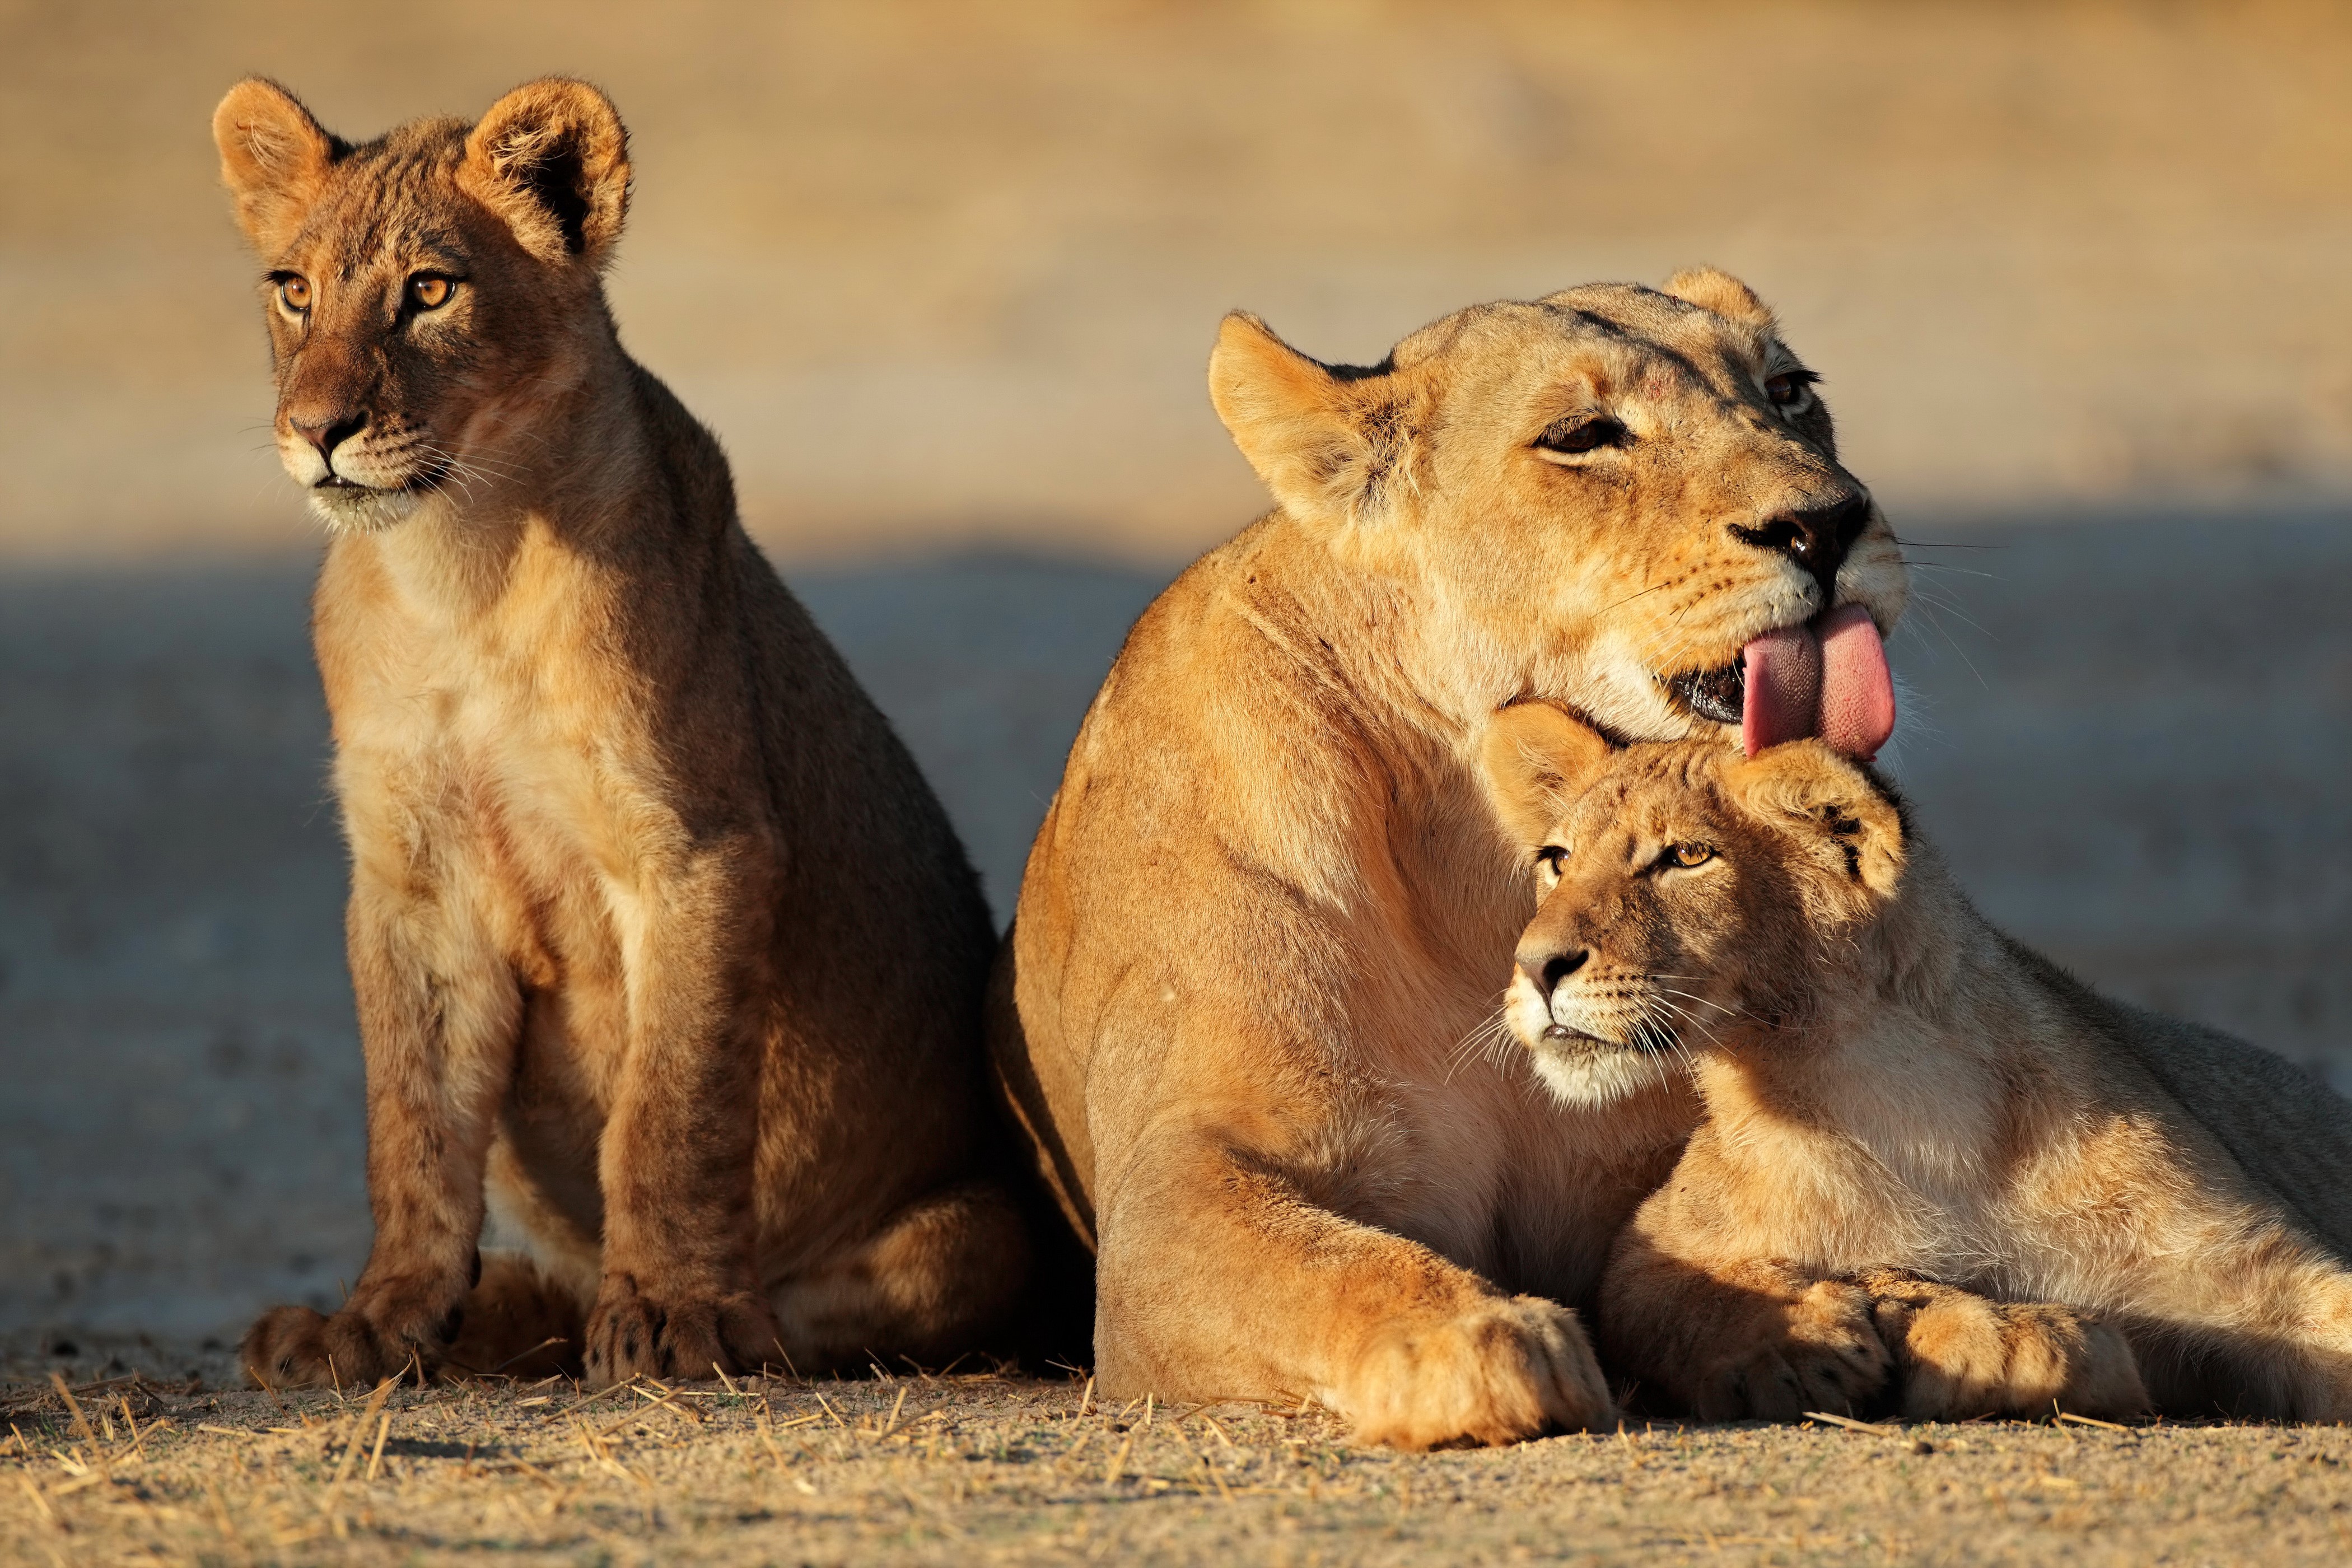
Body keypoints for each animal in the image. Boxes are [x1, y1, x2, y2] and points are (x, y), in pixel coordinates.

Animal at [213, 77, 1027, 1388]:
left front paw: (675, 1314)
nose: (318, 429)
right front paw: (374, 1322)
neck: (462, 571)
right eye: (293, 288)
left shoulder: (696, 847)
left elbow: (670, 1105)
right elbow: (411, 1125)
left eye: (429, 291)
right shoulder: (410, 879)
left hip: (986, 1231)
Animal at [987, 272, 1911, 1447]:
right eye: (1584, 436)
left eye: (1789, 390)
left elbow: (1691, 1237)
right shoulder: (1176, 1192)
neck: (1485, 863)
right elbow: (1324, 1262)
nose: (1829, 523)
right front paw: (1477, 1338)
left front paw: (1792, 1328)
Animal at [1481, 700, 2352, 1422]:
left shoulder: (2257, 1272)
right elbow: (1683, 1295)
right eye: (1558, 859)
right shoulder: (1655, 1240)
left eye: (1688, 857)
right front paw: (1799, 1345)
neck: (1906, 1104)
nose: (1535, 965)